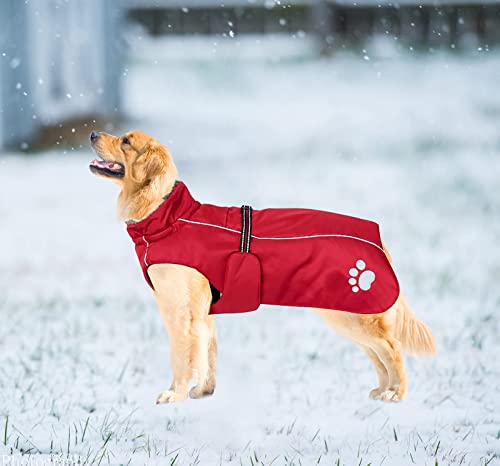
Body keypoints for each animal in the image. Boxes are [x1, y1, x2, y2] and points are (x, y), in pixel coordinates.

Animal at [89, 128, 434, 404]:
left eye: (126, 141)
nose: (92, 134)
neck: (166, 214)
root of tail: (376, 236)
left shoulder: (180, 311)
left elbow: (182, 357)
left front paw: (174, 394)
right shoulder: (205, 313)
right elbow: (208, 352)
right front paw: (203, 391)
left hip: (353, 315)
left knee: (392, 348)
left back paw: (397, 393)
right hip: (347, 315)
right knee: (378, 353)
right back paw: (382, 390)